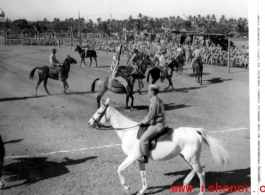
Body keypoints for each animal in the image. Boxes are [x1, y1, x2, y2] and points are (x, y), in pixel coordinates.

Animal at [87, 99, 228, 195]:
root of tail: (195, 131)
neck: (129, 132)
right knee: (196, 170)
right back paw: (186, 182)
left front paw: (127, 187)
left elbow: (119, 169)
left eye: (99, 112)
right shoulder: (140, 160)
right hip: (187, 157)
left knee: (201, 173)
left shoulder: (132, 157)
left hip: (191, 158)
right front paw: (142, 190)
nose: (89, 123)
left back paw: (200, 191)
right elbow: (143, 175)